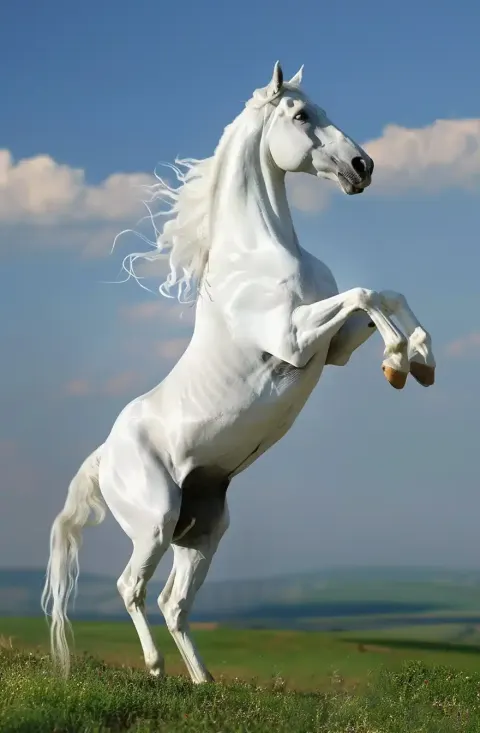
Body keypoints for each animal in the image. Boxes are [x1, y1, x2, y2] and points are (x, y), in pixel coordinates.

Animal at [41, 62, 435, 684]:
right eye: (301, 115)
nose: (362, 167)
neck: (259, 253)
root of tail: (105, 455)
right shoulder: (294, 340)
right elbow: (365, 293)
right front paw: (399, 360)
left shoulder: (335, 347)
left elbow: (385, 294)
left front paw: (418, 362)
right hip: (155, 520)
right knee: (132, 588)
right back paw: (155, 667)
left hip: (202, 530)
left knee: (173, 603)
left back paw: (203, 683)